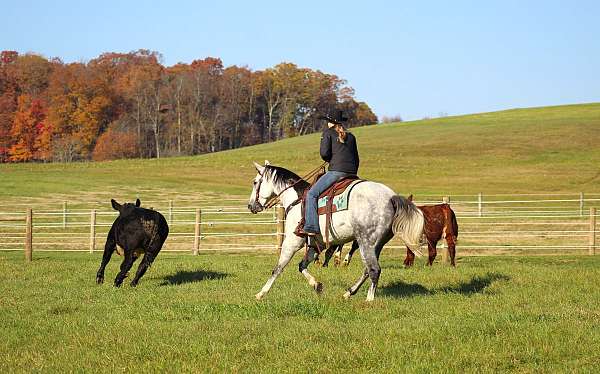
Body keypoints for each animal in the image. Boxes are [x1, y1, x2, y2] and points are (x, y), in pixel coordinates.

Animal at [246, 161, 424, 300]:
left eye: (255, 182)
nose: (250, 206)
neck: (297, 200)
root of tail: (391, 197)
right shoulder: (315, 244)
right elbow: (302, 265)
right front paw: (316, 285)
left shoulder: (292, 241)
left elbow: (278, 268)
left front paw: (261, 293)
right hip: (376, 245)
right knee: (367, 270)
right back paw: (348, 293)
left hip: (365, 242)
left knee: (374, 270)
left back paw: (369, 300)